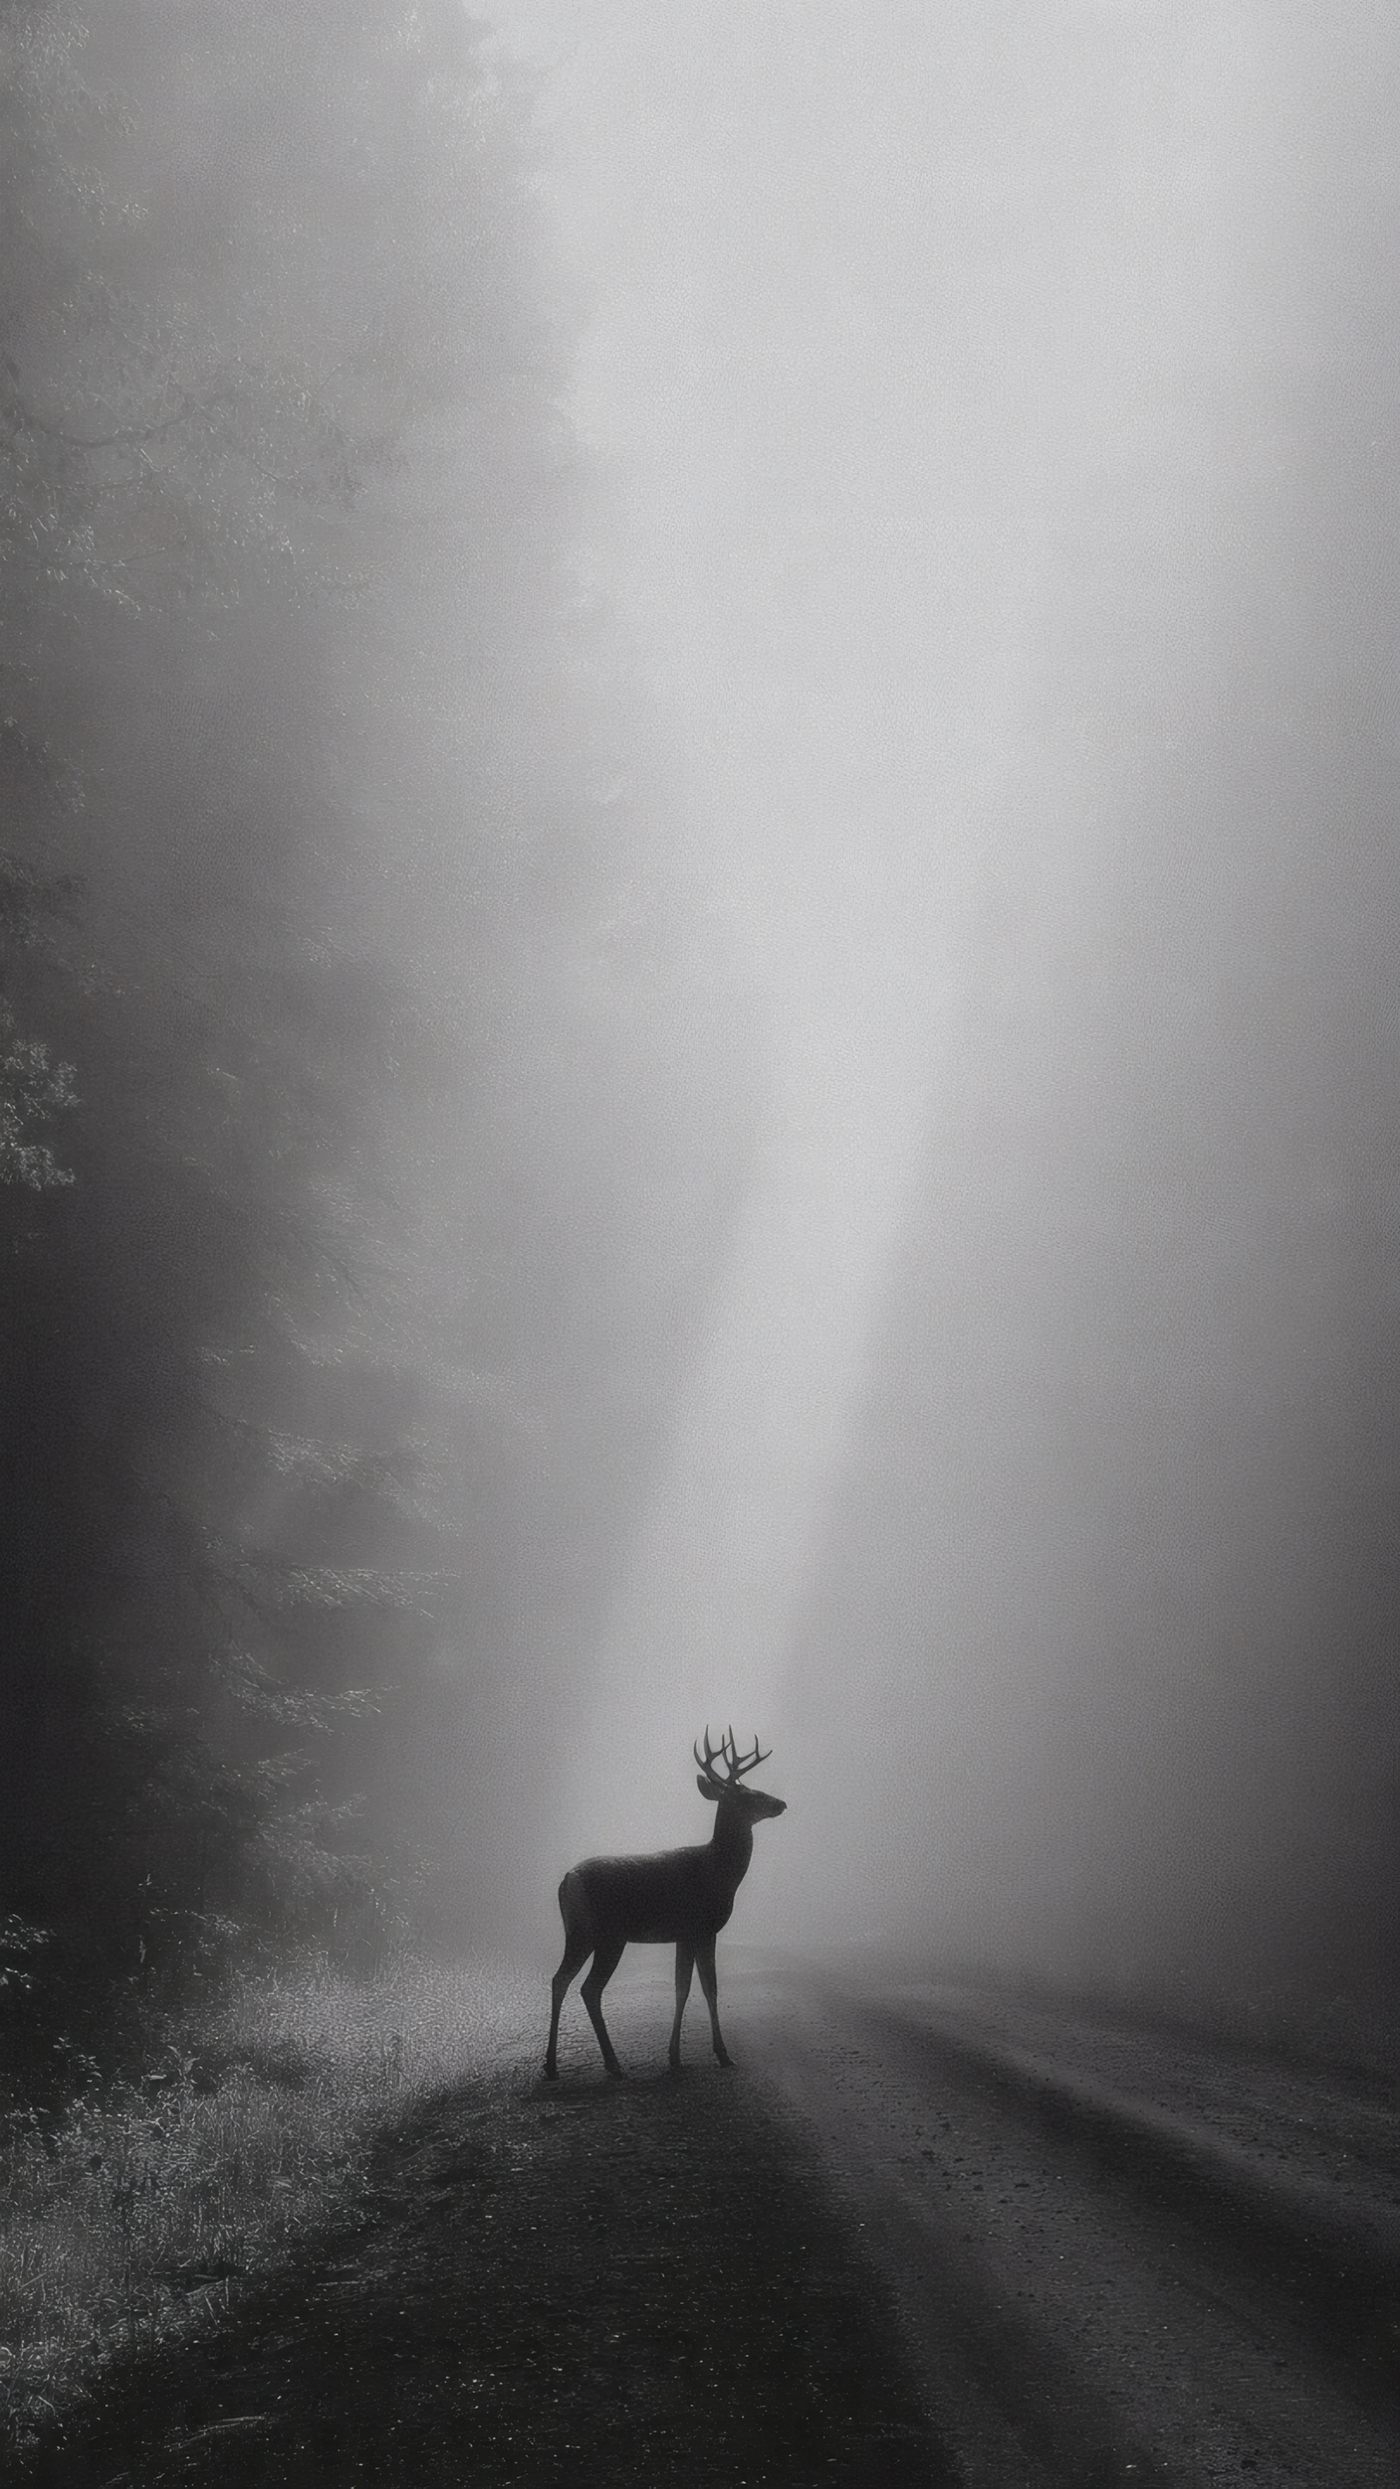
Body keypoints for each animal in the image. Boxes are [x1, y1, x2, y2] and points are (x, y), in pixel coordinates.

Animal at [543, 1728, 786, 2081]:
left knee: (561, 1980)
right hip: (606, 1935)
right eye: (747, 1794)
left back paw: (552, 2065)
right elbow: (709, 1987)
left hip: (580, 1932)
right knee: (588, 1987)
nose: (781, 1803)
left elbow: (681, 1988)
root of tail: (566, 1880)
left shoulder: (683, 1935)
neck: (719, 1871)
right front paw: (722, 2054)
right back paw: (611, 2065)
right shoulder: (702, 1928)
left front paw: (674, 2056)